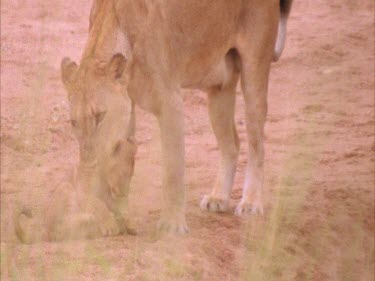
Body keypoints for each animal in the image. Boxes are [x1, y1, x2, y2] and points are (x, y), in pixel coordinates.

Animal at [61, 0, 294, 232]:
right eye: (73, 122)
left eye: (100, 116)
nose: (88, 160)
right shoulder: (126, 110)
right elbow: (120, 164)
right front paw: (111, 214)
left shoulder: (170, 101)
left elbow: (173, 169)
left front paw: (172, 224)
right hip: (219, 89)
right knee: (232, 144)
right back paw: (218, 198)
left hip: (254, 70)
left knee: (257, 144)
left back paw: (250, 203)